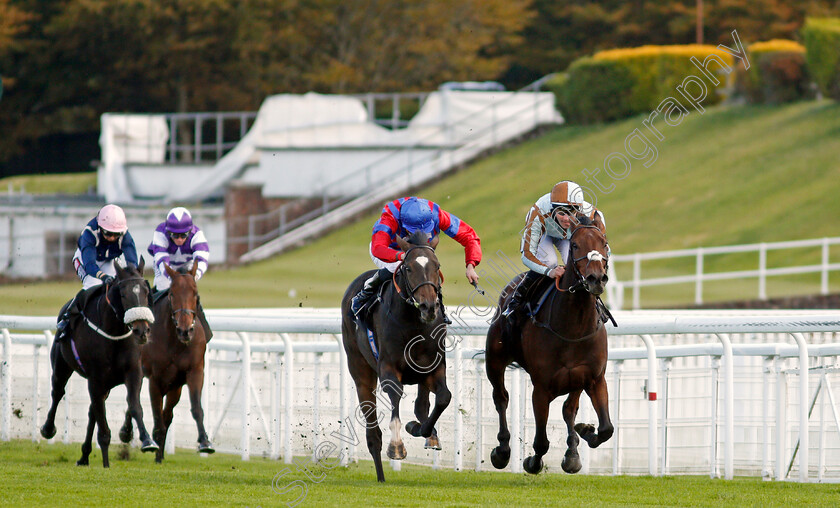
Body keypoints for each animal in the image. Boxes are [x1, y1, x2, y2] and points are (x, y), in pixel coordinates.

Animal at [40, 258, 158, 468]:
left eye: (146, 292)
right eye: (123, 294)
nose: (141, 331)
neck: (114, 334)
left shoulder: (133, 372)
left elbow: (134, 405)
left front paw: (146, 440)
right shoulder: (95, 378)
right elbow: (102, 426)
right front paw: (106, 464)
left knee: (92, 411)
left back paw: (84, 456)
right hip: (62, 365)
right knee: (58, 392)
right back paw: (48, 429)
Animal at [120, 262, 215, 460]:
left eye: (196, 294)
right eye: (172, 294)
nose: (185, 330)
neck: (175, 342)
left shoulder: (194, 372)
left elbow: (196, 408)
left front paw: (204, 442)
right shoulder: (155, 380)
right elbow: (157, 419)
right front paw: (152, 446)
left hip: (175, 385)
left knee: (167, 414)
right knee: (135, 401)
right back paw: (127, 432)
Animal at [340, 232, 452, 482]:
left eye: (438, 266)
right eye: (408, 268)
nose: (429, 306)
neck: (414, 324)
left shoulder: (434, 367)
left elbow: (443, 398)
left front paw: (422, 430)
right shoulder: (388, 368)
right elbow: (395, 395)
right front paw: (397, 447)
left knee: (421, 405)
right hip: (360, 371)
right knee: (373, 432)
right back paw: (381, 476)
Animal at [486, 218, 612, 476]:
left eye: (604, 243)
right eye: (574, 245)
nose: (596, 279)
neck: (573, 328)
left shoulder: (595, 378)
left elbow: (606, 428)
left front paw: (584, 432)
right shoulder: (542, 387)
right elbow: (541, 442)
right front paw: (531, 462)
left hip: (576, 381)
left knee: (568, 409)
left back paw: (572, 452)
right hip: (494, 360)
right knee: (501, 397)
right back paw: (502, 450)